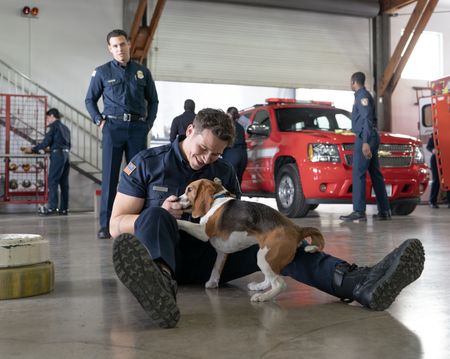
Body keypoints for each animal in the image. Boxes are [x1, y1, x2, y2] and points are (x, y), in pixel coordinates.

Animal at [176, 179, 324, 302]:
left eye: (189, 189)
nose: (176, 199)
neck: (216, 199)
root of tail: (297, 228)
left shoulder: (203, 232)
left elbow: (183, 223)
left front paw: (175, 219)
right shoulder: (222, 252)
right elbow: (216, 269)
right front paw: (212, 282)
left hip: (265, 257)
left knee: (279, 284)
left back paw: (262, 297)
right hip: (265, 257)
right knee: (270, 279)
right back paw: (258, 287)